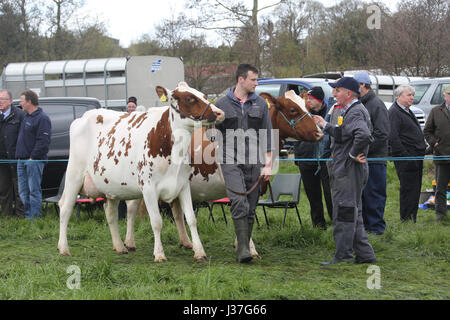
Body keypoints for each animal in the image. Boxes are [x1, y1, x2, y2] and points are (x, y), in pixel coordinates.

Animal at [57, 82, 224, 262]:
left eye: (203, 95)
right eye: (189, 98)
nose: (219, 113)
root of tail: (85, 116)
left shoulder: (183, 184)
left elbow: (191, 219)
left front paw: (199, 252)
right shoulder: (149, 188)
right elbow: (156, 222)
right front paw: (159, 254)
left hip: (112, 187)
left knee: (110, 213)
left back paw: (120, 246)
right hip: (74, 175)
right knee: (65, 208)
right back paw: (63, 248)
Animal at [121, 89, 322, 258]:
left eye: (307, 106)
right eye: (293, 109)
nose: (319, 133)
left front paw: (240, 244)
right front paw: (250, 249)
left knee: (177, 212)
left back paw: (187, 243)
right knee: (131, 208)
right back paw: (128, 243)